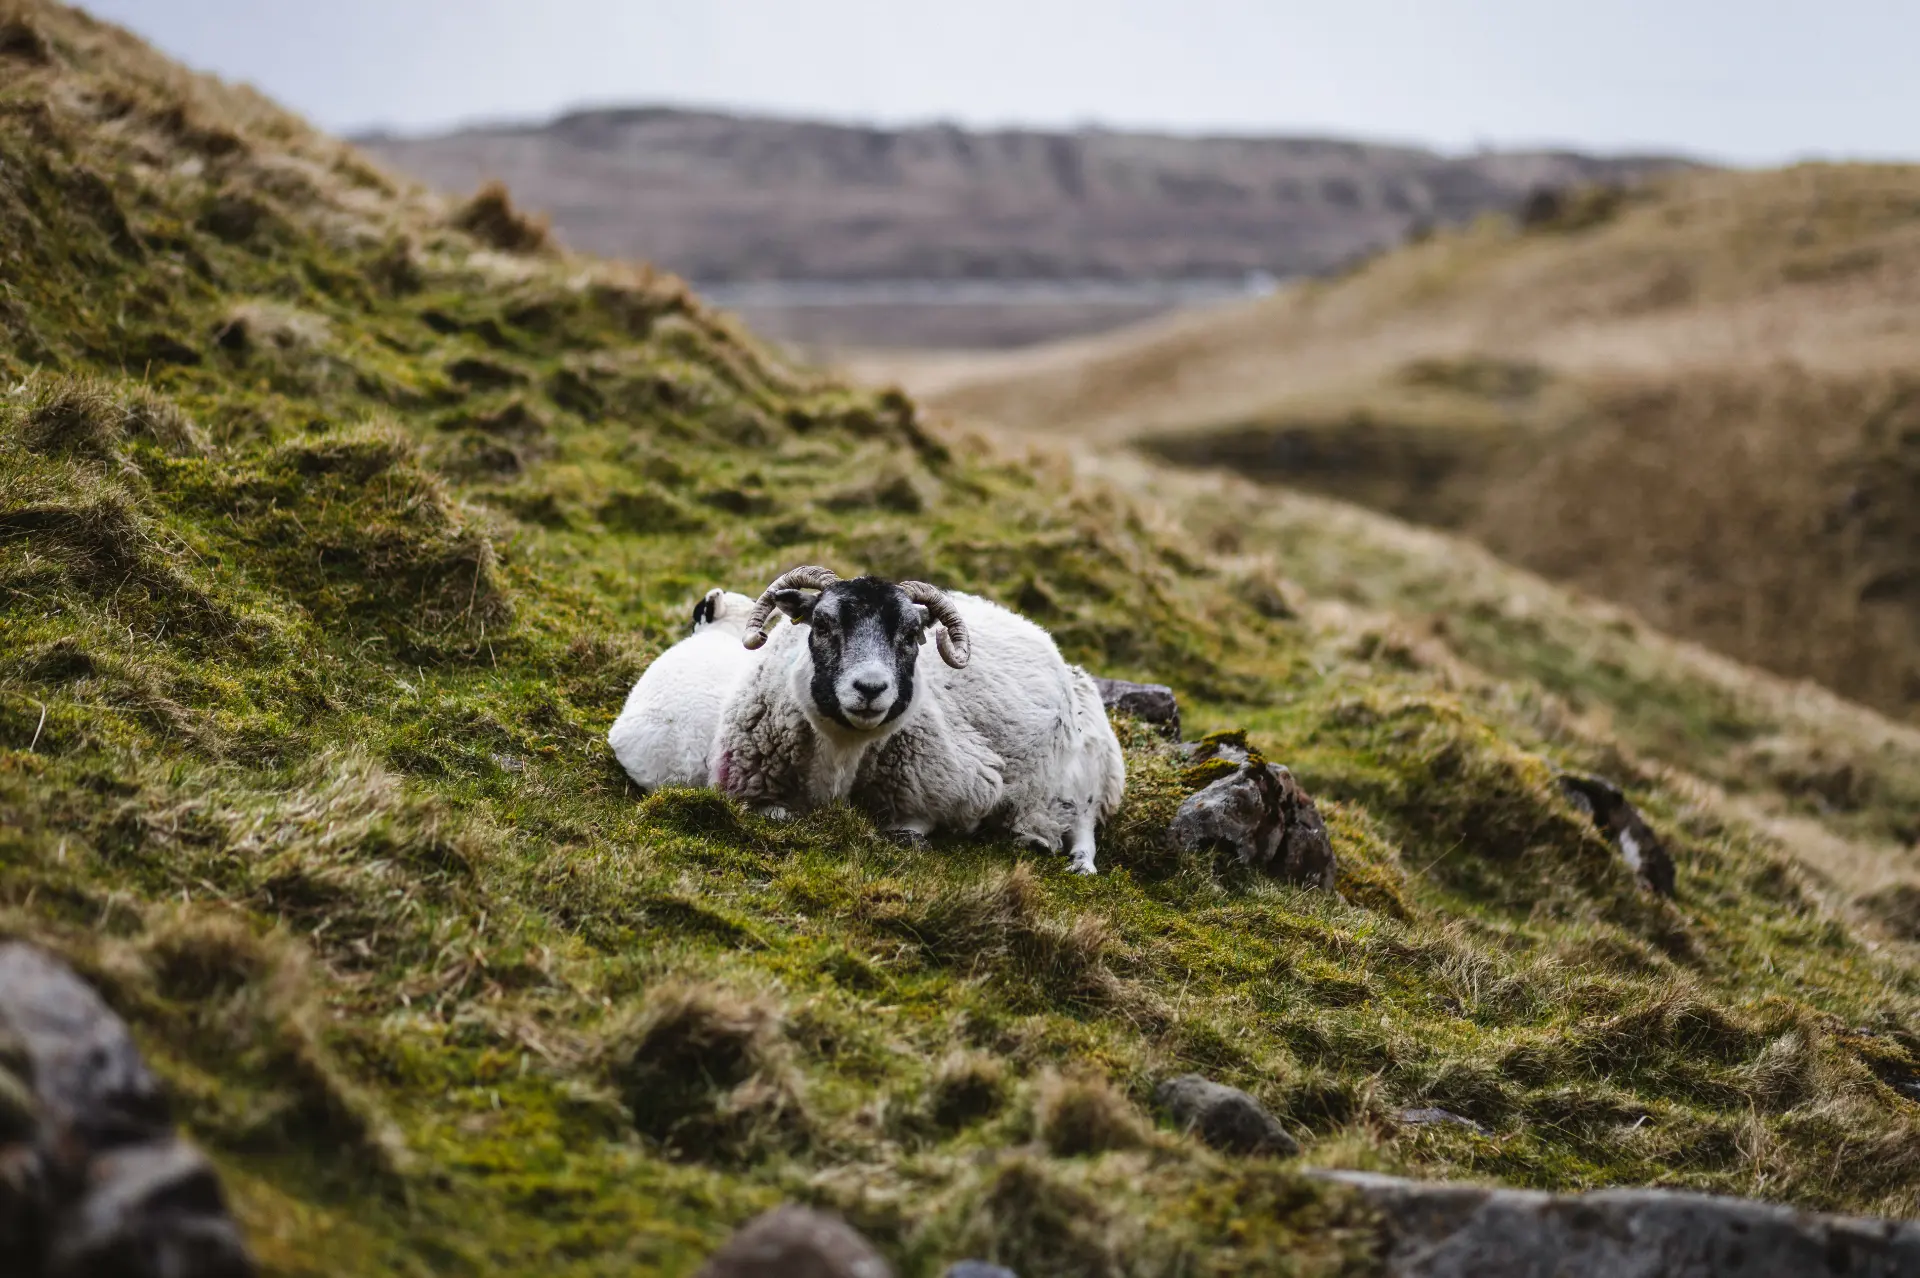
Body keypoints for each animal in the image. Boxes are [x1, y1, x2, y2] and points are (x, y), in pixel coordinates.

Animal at [711, 565, 1126, 873]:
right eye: (822, 625)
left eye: (911, 634)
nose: (870, 688)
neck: (843, 752)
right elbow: (777, 815)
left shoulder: (955, 791)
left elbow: (909, 832)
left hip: (1085, 770)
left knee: (1084, 823)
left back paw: (1067, 857)